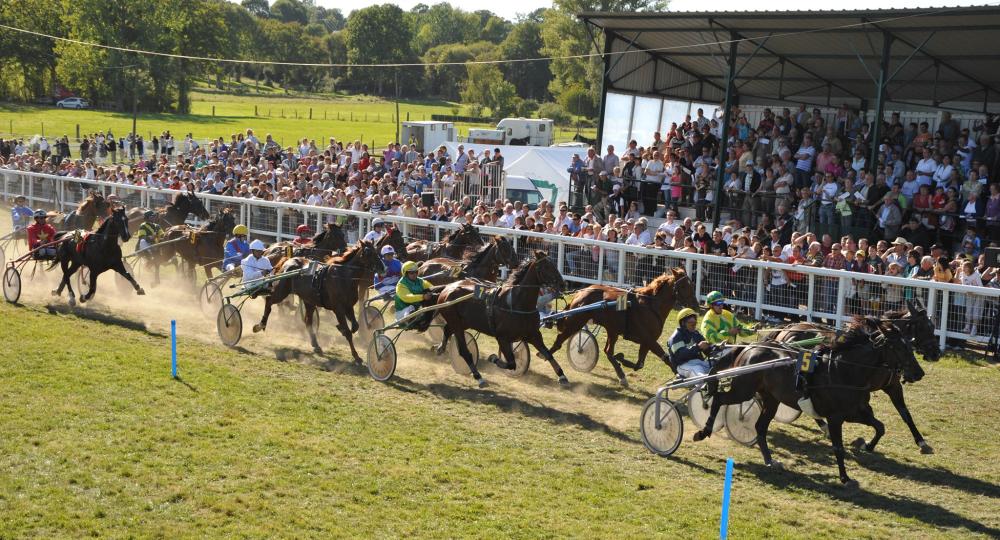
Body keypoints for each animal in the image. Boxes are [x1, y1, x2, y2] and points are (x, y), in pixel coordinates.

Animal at [252, 242, 384, 360]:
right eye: (368, 252)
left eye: (376, 251)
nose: (383, 267)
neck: (343, 277)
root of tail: (289, 260)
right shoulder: (338, 308)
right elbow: (347, 332)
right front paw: (356, 356)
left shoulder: (348, 307)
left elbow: (355, 326)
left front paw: (344, 329)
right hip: (282, 291)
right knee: (269, 301)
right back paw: (260, 325)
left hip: (308, 300)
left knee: (308, 321)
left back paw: (316, 345)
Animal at [434, 251, 568, 386]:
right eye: (546, 266)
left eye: (554, 264)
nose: (563, 284)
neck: (517, 303)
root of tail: (447, 287)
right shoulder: (502, 338)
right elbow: (512, 363)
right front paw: (494, 358)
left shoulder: (533, 335)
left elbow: (547, 354)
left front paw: (562, 376)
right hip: (456, 323)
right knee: (463, 350)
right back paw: (478, 376)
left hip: (464, 322)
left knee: (447, 329)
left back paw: (440, 348)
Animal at [544, 266, 700, 386]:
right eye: (684, 286)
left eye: (692, 285)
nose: (696, 305)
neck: (650, 305)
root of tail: (582, 292)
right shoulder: (648, 339)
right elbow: (665, 358)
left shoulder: (646, 342)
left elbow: (639, 364)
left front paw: (621, 360)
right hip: (576, 321)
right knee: (560, 339)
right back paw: (549, 359)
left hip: (611, 329)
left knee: (608, 351)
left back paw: (621, 375)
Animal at [692, 318, 924, 488]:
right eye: (899, 348)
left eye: (910, 345)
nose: (919, 373)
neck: (844, 370)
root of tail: (750, 348)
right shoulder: (835, 417)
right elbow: (838, 448)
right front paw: (845, 478)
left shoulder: (858, 411)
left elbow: (880, 426)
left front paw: (867, 445)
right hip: (743, 389)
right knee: (719, 399)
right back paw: (703, 431)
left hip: (771, 399)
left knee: (760, 427)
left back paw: (770, 460)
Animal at [760, 298, 940, 454]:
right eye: (925, 327)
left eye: (932, 327)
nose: (936, 353)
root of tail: (786, 329)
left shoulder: (892, 386)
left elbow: (905, 413)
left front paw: (922, 442)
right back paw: (824, 426)